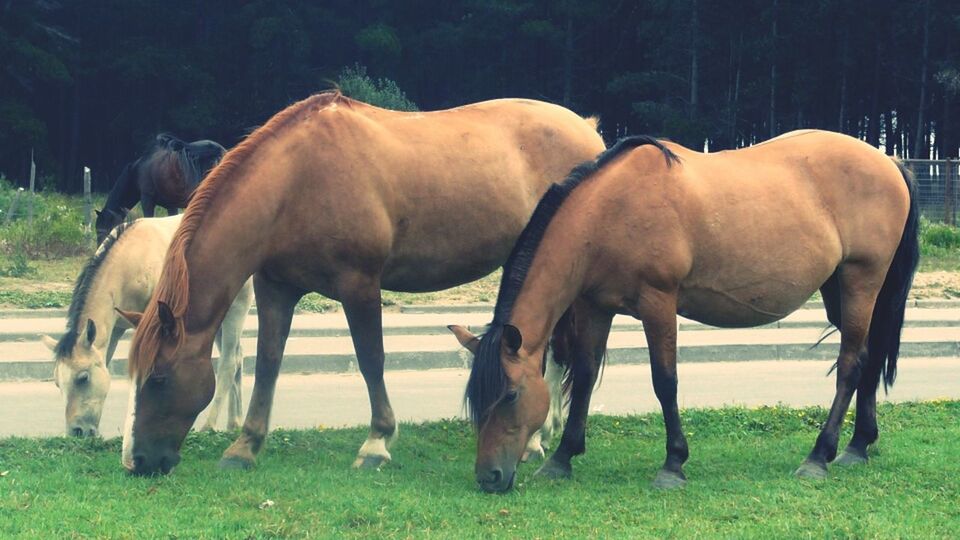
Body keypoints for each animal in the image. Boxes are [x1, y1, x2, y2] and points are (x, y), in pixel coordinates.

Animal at [40, 215, 253, 438]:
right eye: (57, 382)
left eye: (83, 378)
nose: (77, 431)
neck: (130, 261)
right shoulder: (116, 328)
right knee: (238, 356)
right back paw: (234, 423)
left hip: (236, 308)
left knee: (228, 363)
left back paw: (209, 426)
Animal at [116, 90, 604, 474]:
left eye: (158, 379)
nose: (136, 462)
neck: (296, 181)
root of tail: (587, 130)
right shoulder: (275, 288)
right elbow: (268, 363)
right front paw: (246, 445)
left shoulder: (360, 286)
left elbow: (371, 360)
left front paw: (376, 443)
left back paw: (539, 439)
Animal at [452, 131, 924, 494]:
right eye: (476, 400)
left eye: (511, 395)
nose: (489, 477)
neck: (610, 210)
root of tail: (889, 161)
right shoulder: (594, 307)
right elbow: (584, 378)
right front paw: (562, 458)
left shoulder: (658, 303)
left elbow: (665, 381)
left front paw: (673, 464)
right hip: (841, 290)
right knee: (870, 358)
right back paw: (858, 447)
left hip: (861, 280)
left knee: (850, 364)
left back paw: (819, 456)